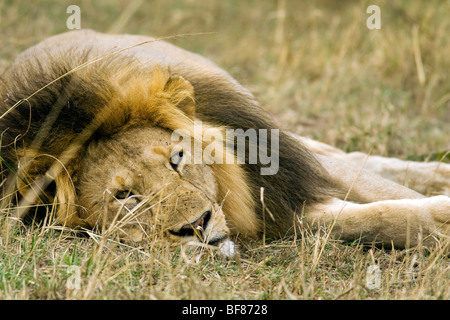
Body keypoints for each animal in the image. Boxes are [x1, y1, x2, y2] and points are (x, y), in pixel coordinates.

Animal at [0, 28, 450, 256]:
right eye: (125, 197)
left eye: (178, 160)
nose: (197, 226)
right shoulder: (281, 211)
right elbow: (374, 218)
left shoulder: (279, 173)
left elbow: (378, 189)